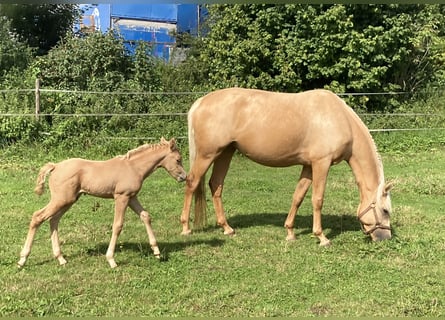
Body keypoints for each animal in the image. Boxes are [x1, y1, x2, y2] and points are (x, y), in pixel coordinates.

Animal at [17, 138, 186, 268]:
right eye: (178, 159)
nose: (184, 177)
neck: (133, 167)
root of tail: (55, 166)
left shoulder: (132, 197)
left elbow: (145, 216)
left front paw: (156, 251)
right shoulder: (121, 197)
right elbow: (118, 225)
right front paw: (111, 260)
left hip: (68, 201)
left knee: (53, 220)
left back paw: (61, 258)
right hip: (61, 199)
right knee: (38, 216)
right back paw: (22, 260)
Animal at [179, 87, 390, 245]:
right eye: (386, 211)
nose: (385, 238)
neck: (339, 119)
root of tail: (200, 102)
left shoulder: (308, 166)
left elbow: (298, 196)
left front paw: (290, 232)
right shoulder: (321, 163)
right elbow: (317, 199)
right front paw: (322, 237)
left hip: (225, 152)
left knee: (216, 185)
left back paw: (227, 228)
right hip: (207, 155)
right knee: (192, 183)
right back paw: (186, 228)